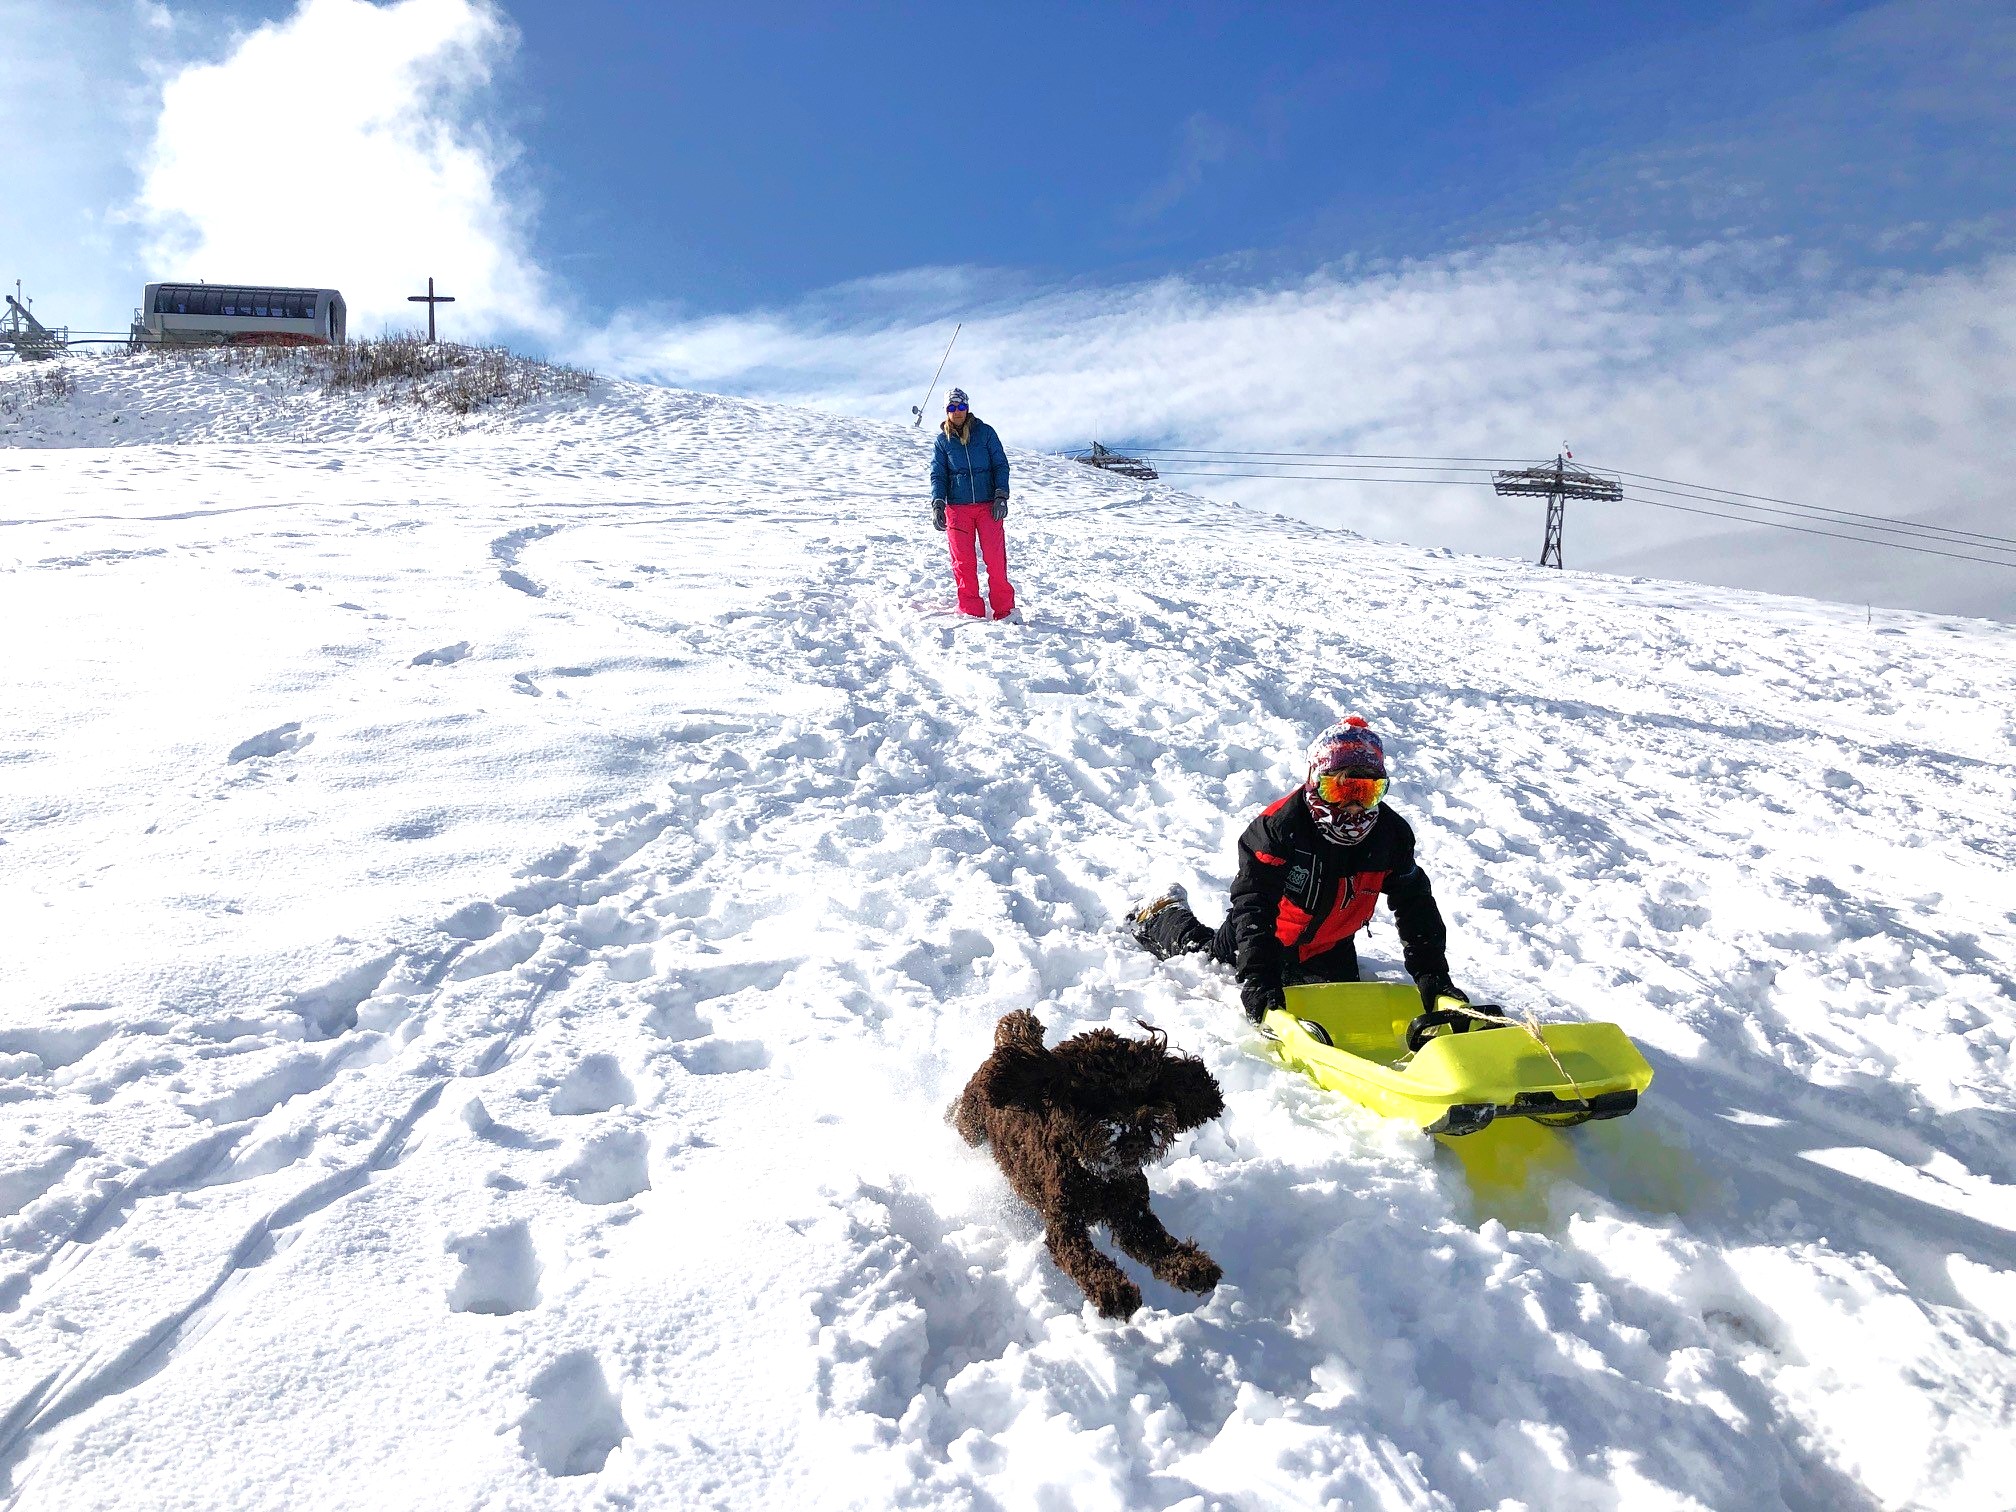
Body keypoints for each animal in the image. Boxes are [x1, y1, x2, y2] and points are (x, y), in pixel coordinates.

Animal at [947, 1012, 1217, 1322]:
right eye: (1095, 1097)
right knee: (959, 1117)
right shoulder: (1063, 1224)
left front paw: (1191, 1266)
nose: (1135, 1137)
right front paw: (1112, 1290)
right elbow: (1082, 1258)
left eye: (1143, 1090)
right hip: (971, 1126)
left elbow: (1157, 1242)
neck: (1097, 1175)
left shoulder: (1132, 1213)